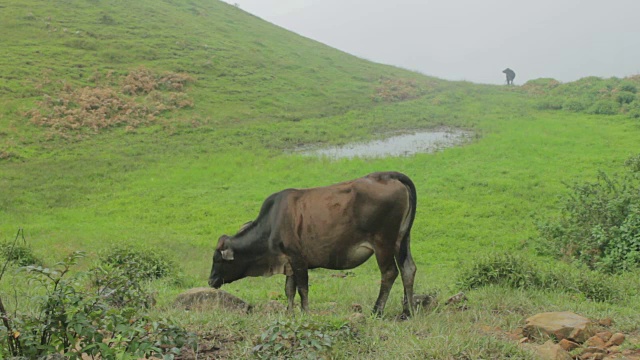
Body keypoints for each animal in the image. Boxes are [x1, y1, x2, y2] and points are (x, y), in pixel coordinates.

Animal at [209, 171, 420, 316]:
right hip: (403, 239)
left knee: (389, 273)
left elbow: (302, 288)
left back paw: (377, 311)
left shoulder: (298, 259)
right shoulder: (289, 262)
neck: (272, 223)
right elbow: (289, 290)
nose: (211, 281)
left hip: (383, 243)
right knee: (408, 269)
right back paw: (407, 312)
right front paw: (290, 313)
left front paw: (305, 312)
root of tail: (388, 175)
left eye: (218, 260)